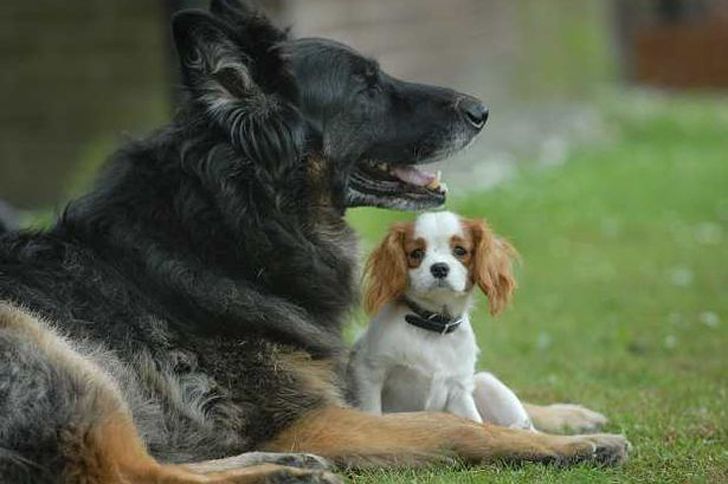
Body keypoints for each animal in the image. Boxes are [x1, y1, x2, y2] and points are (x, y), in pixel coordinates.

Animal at [346, 210, 536, 430]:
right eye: (416, 254)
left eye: (460, 250)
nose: (439, 268)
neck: (432, 325)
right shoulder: (370, 373)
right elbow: (372, 412)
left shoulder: (459, 390)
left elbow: (474, 422)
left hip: (487, 382)